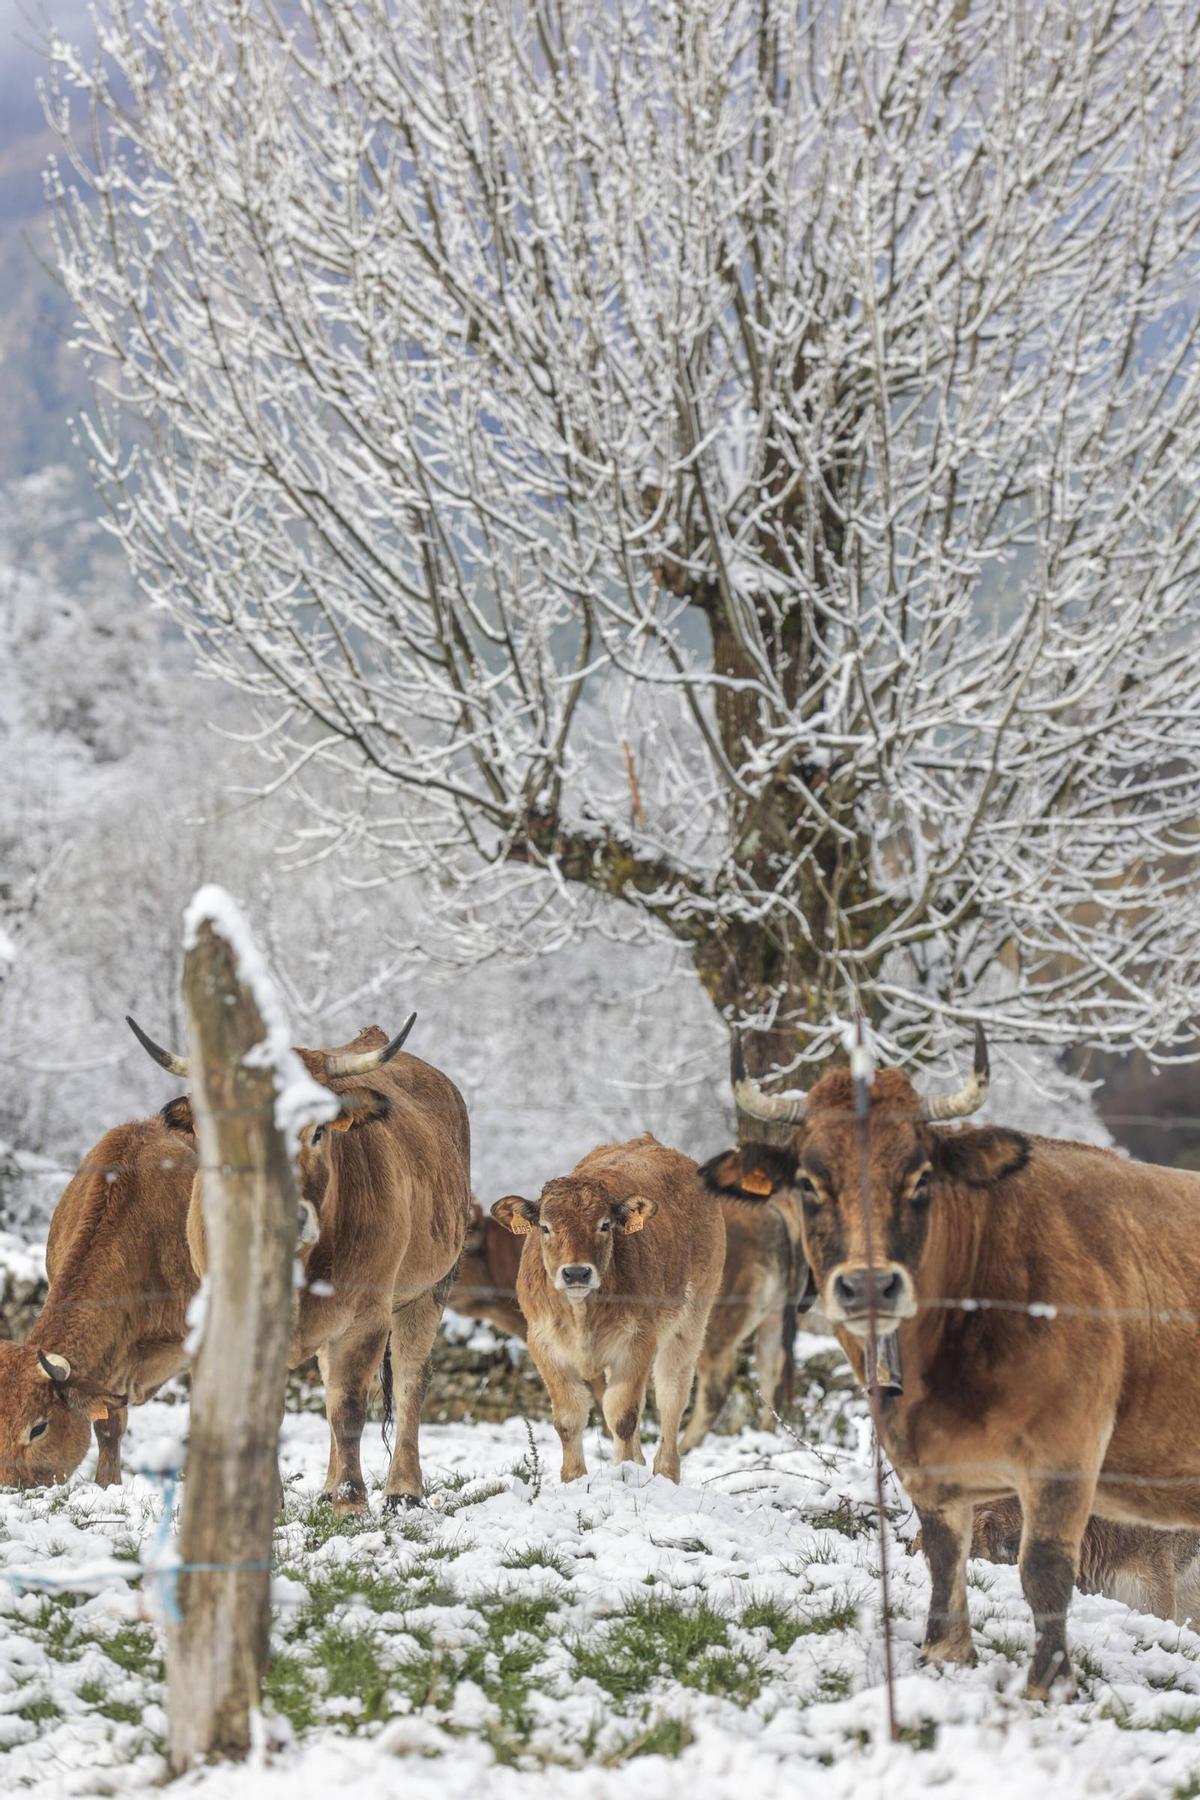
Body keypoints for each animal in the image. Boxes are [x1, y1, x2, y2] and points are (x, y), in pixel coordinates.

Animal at [128, 1013, 471, 1515]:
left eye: (318, 1130)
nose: (285, 1214)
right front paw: (268, 1501)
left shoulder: (366, 1316)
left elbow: (348, 1405)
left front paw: (351, 1501)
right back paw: (328, 1486)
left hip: (430, 1289)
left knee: (410, 1380)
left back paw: (402, 1489)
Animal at [491, 1133, 724, 1484]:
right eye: (545, 1227)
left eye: (604, 1225)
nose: (576, 1273)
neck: (581, 1314)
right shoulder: (544, 1345)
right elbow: (569, 1417)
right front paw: (574, 1478)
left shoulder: (638, 1340)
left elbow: (623, 1414)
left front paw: (625, 1475)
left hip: (690, 1322)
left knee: (671, 1394)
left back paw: (665, 1472)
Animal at [707, 1025, 1200, 1700]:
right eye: (809, 1181)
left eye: (920, 1177)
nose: (867, 1286)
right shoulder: (921, 1456)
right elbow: (945, 1550)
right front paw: (945, 1655)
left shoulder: (1067, 1455)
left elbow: (1044, 1567)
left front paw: (1048, 1685)